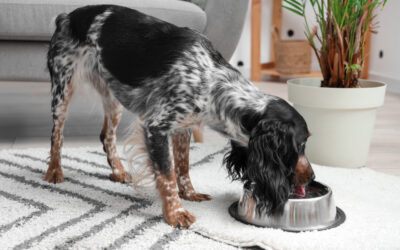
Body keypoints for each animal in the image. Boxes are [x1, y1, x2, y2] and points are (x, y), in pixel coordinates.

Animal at [46, 4, 316, 229]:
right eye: (301, 143)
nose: (312, 176)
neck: (213, 80)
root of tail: (67, 16)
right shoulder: (156, 127)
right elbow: (167, 175)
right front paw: (175, 213)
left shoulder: (183, 126)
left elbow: (183, 165)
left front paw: (190, 194)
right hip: (63, 88)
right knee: (57, 135)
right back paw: (54, 171)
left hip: (112, 96)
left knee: (106, 136)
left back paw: (118, 170)